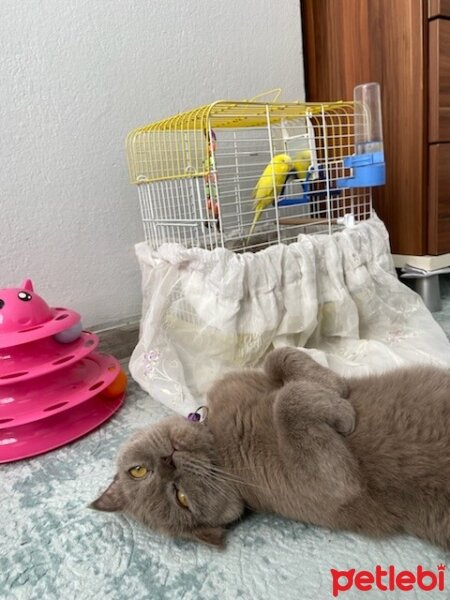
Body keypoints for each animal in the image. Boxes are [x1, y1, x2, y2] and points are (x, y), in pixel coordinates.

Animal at [90, 346, 450, 548]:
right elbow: (286, 404)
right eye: (181, 499)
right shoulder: (332, 488)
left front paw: (337, 388)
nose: (168, 462)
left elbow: (277, 356)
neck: (220, 438)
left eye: (138, 471)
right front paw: (344, 413)